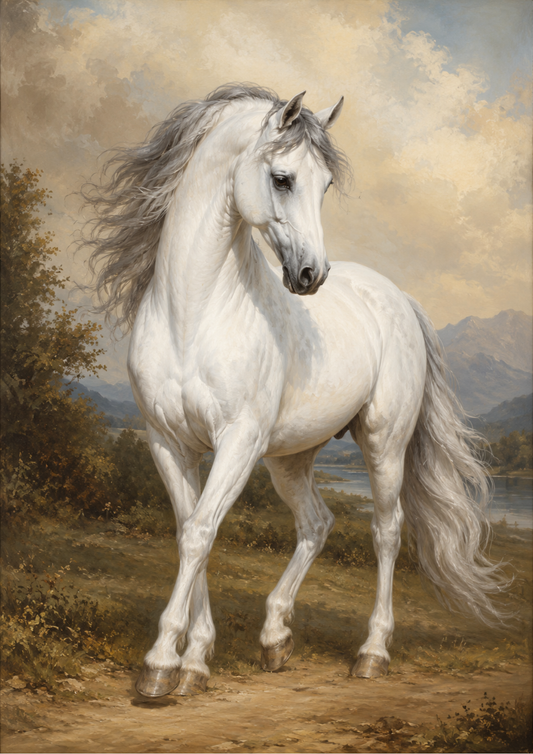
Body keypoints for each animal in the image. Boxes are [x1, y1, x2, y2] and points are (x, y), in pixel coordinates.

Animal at [85, 84, 508, 698]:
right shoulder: (167, 442)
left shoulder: (238, 442)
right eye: (282, 178)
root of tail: (398, 298)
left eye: (326, 184)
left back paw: (372, 653)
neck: (194, 315)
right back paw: (275, 638)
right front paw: (196, 661)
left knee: (386, 532)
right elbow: (193, 533)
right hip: (290, 458)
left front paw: (162, 665)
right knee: (316, 524)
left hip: (383, 444)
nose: (311, 275)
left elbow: (201, 534)